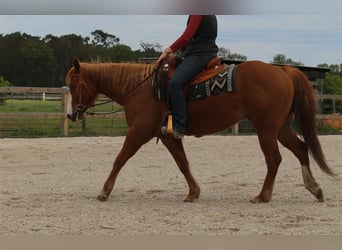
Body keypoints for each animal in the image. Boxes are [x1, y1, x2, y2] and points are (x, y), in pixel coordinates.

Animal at [65, 57, 334, 203]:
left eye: (73, 84)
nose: (71, 114)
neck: (139, 88)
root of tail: (282, 70)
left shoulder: (139, 132)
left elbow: (120, 159)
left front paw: (104, 191)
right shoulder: (167, 135)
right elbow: (183, 163)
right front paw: (193, 192)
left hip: (266, 129)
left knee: (274, 159)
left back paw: (263, 195)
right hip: (281, 128)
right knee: (301, 149)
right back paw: (315, 188)